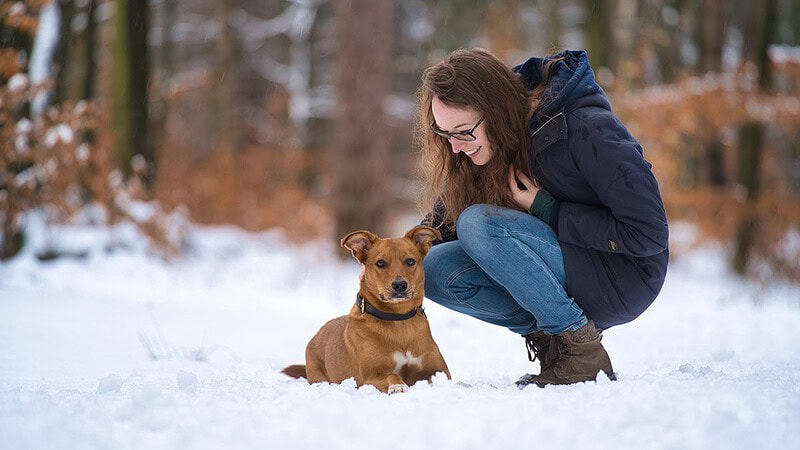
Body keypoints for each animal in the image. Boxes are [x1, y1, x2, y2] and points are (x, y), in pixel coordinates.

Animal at [282, 227, 450, 392]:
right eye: (380, 263)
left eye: (410, 261)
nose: (400, 285)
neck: (399, 319)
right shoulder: (369, 378)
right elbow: (392, 375)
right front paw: (397, 385)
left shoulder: (440, 371)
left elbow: (434, 377)